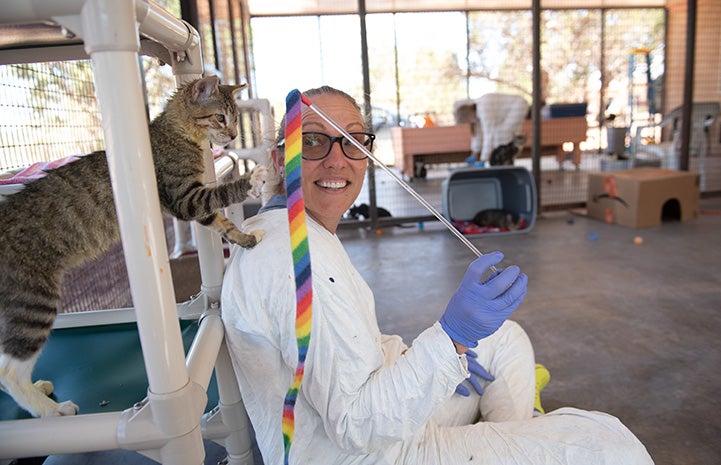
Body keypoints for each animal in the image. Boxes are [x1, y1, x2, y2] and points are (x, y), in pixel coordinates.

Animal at [0, 74, 264, 416]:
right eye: (220, 117)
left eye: (234, 118)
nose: (233, 135)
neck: (173, 133)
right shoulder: (185, 198)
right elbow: (223, 194)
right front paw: (251, 179)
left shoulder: (195, 205)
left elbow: (223, 223)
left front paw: (246, 239)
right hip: (33, 301)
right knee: (9, 371)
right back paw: (49, 409)